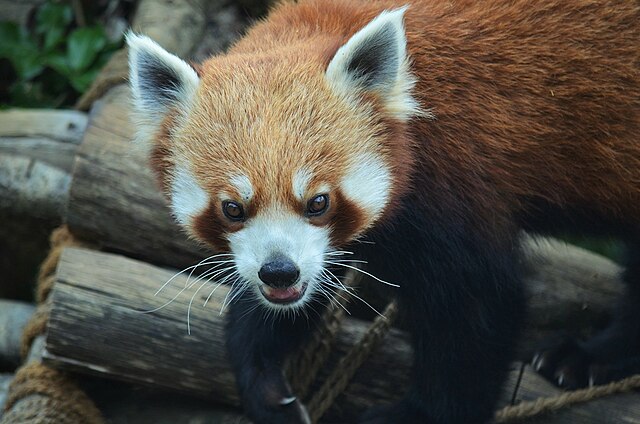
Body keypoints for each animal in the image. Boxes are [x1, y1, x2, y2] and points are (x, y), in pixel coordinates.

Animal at [127, 0, 640, 422]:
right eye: (233, 208)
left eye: (318, 202)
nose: (279, 271)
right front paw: (264, 380)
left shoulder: (453, 184)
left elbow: (479, 309)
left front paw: (421, 414)